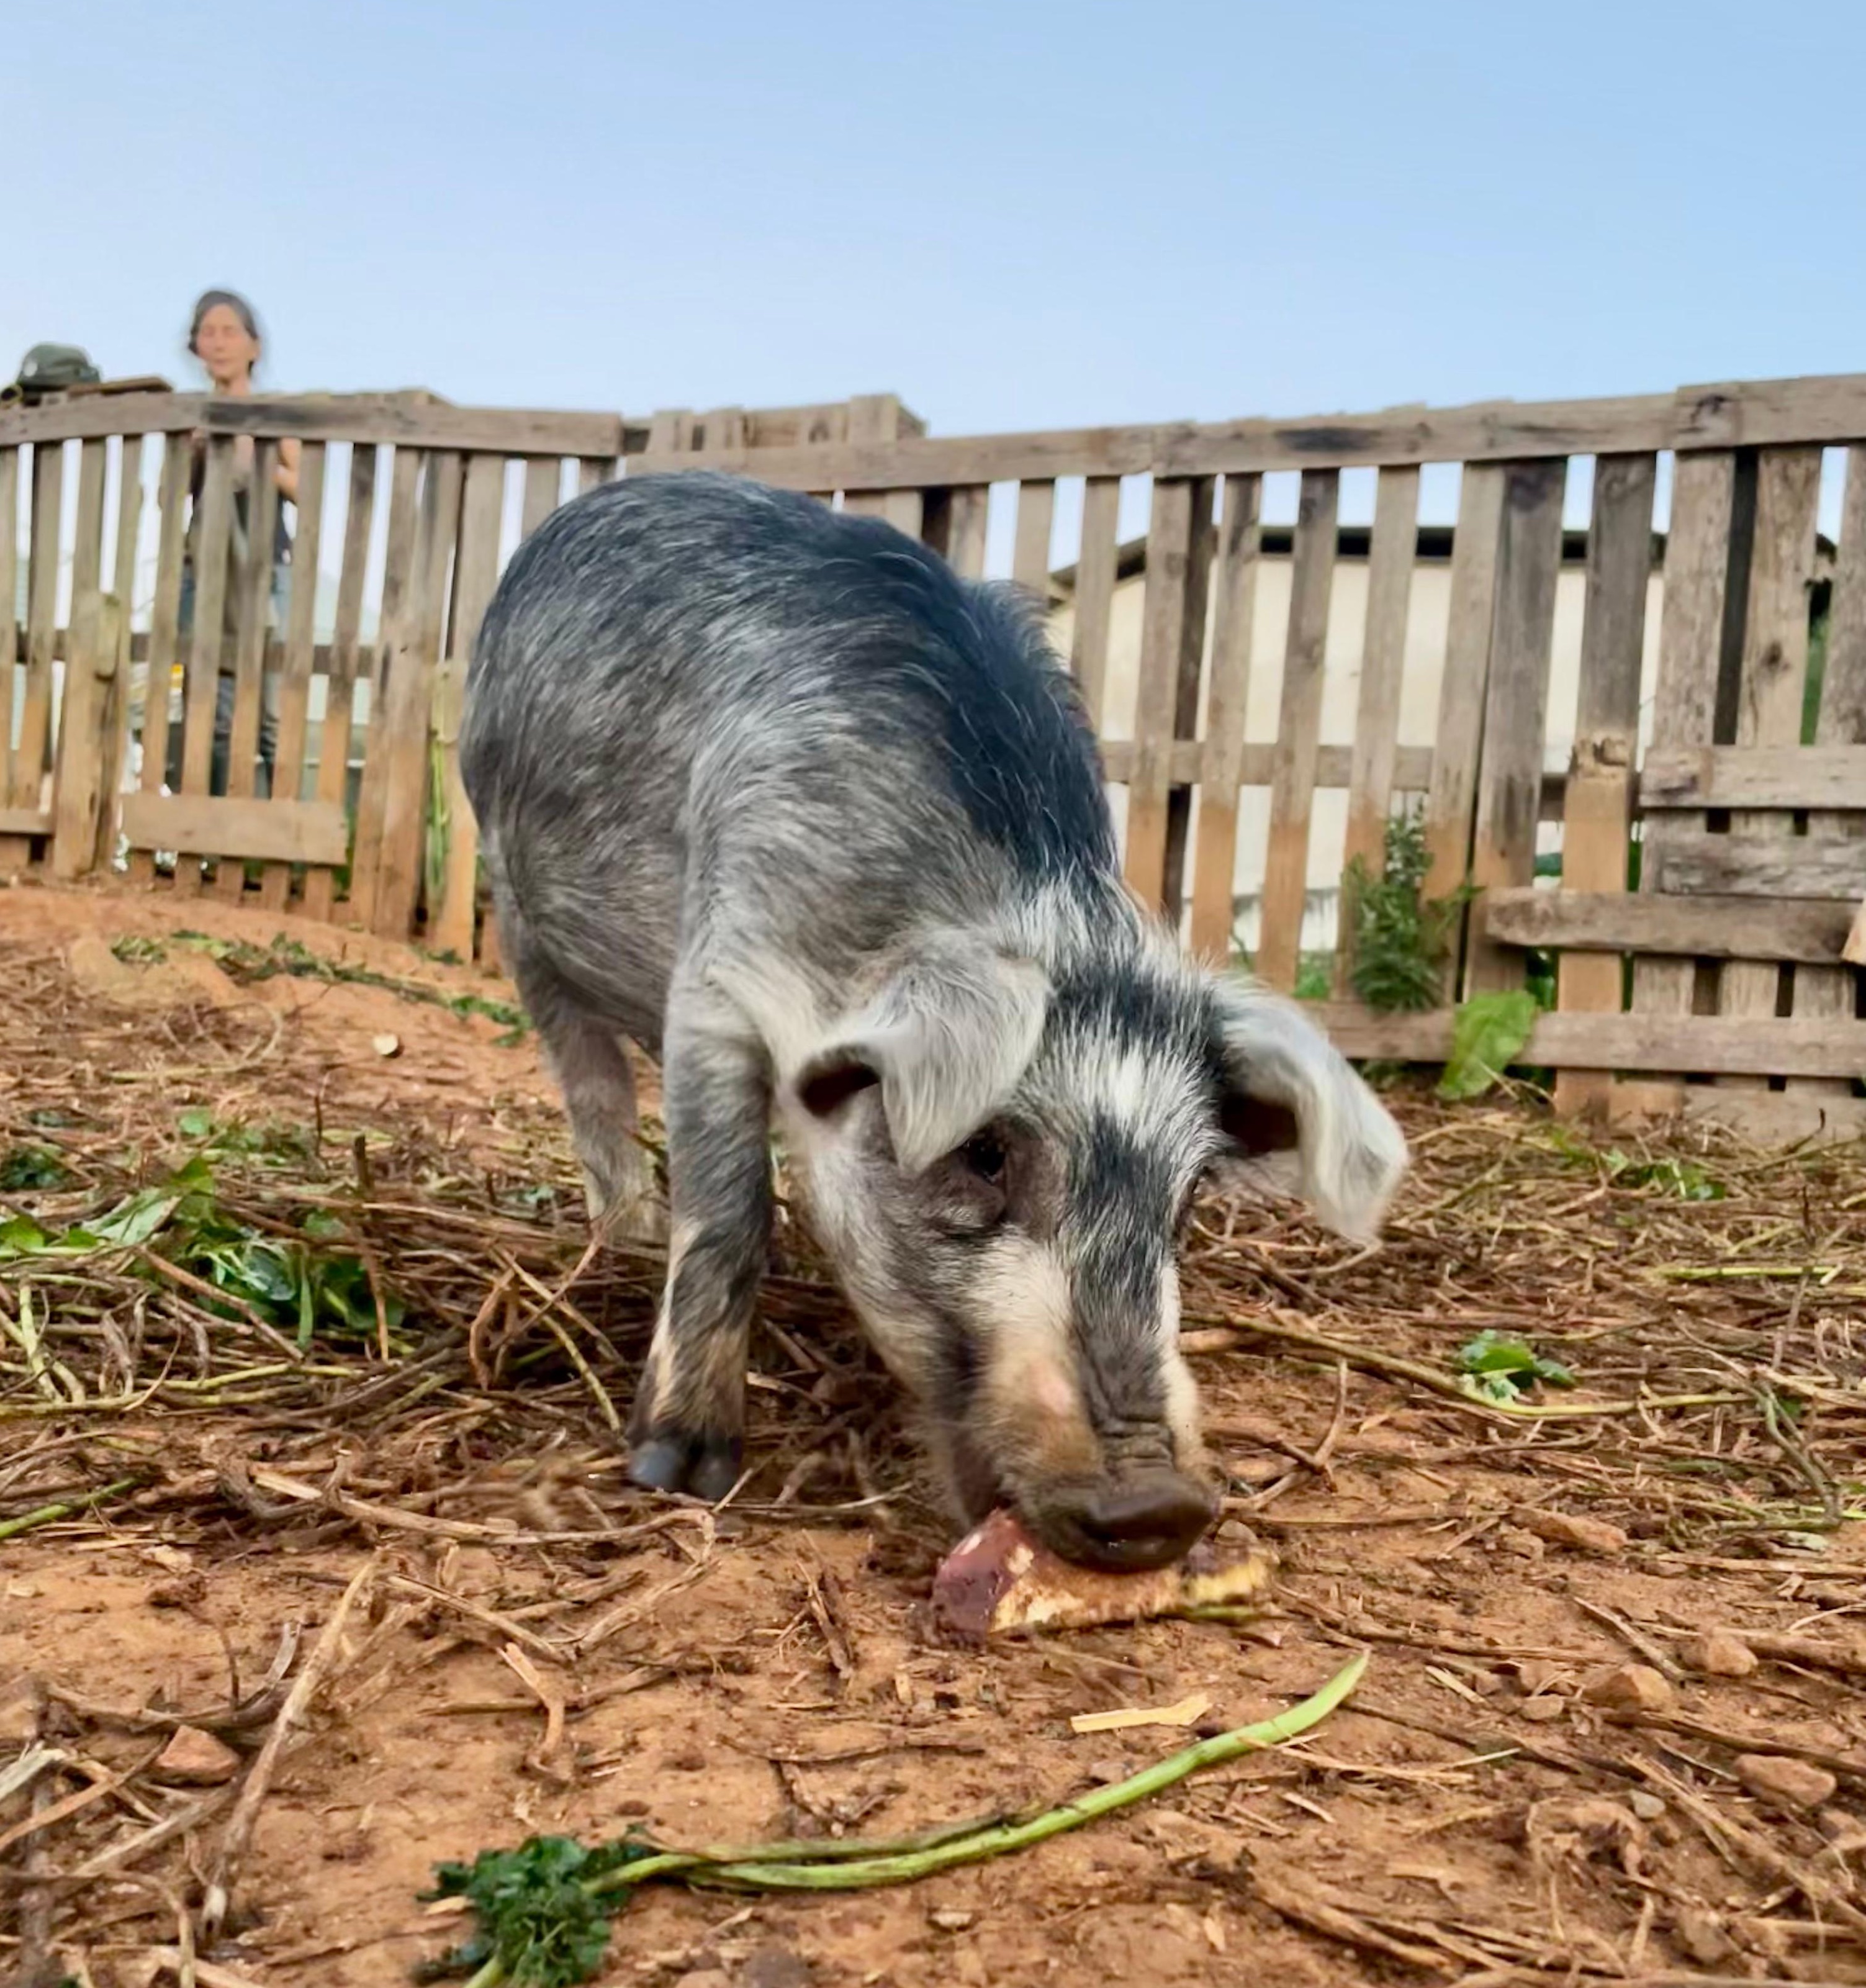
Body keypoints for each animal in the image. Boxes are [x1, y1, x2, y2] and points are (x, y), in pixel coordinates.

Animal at [459, 473, 1407, 1574]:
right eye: (984, 1154)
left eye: (1188, 1200)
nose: (1158, 1505)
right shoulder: (715, 979)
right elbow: (729, 1213)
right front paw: (679, 1469)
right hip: (513, 903)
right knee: (591, 1085)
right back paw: (625, 1238)